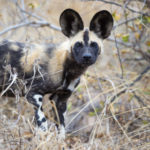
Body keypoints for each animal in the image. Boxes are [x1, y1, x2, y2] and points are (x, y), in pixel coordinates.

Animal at [0, 9, 112, 138]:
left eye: (94, 44)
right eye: (78, 45)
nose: (87, 57)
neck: (69, 69)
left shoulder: (60, 100)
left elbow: (61, 128)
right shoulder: (33, 94)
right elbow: (43, 124)